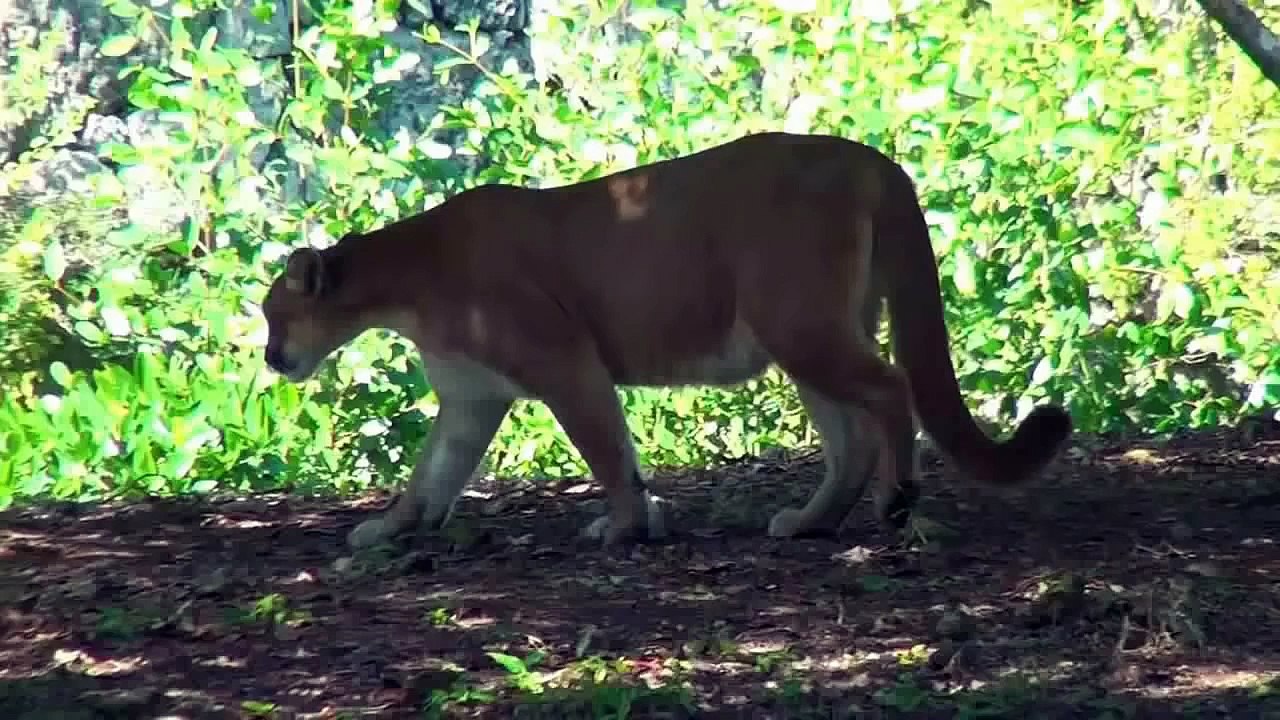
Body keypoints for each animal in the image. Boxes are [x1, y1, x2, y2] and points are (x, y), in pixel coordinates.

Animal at [260, 131, 1072, 550]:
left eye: (274, 316)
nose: (270, 357)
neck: (403, 283)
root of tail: (873, 158)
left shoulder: (565, 362)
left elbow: (606, 449)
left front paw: (624, 524)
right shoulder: (471, 397)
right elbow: (434, 470)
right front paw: (391, 525)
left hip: (800, 323)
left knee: (890, 393)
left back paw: (895, 505)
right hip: (806, 331)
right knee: (850, 435)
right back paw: (810, 521)